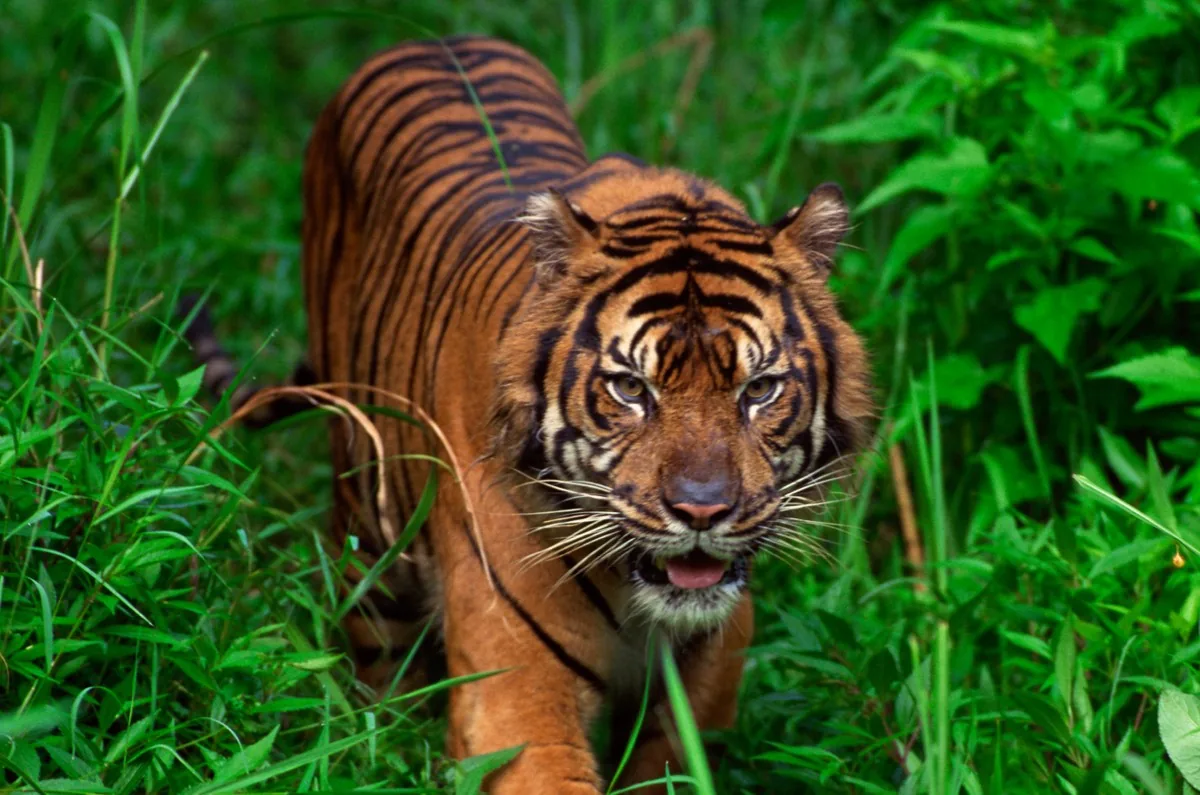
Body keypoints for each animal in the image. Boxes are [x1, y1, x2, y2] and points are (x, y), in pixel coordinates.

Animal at [183, 34, 873, 794]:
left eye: (759, 389)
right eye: (631, 389)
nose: (702, 511)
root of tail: (430, 38)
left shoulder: (706, 680)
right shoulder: (515, 688)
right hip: (368, 530)